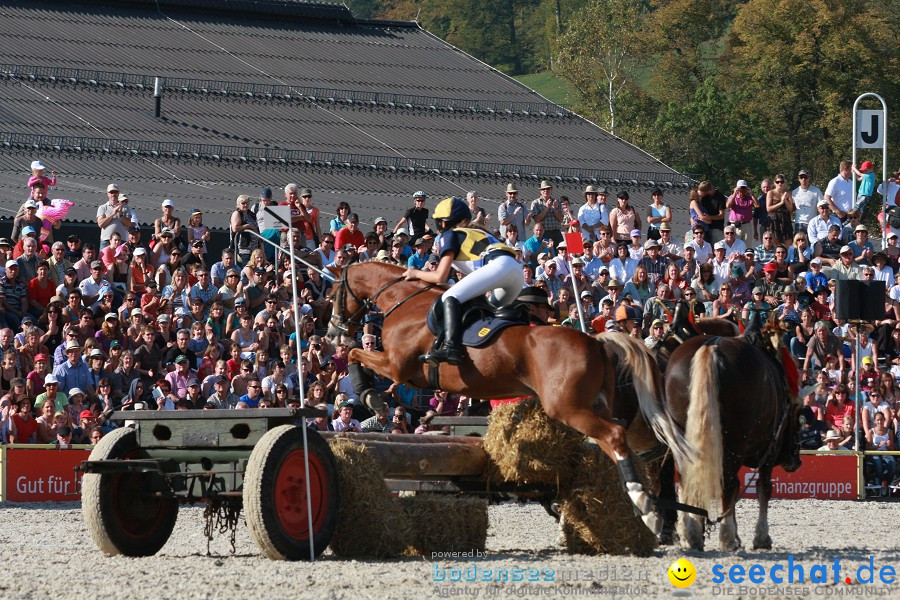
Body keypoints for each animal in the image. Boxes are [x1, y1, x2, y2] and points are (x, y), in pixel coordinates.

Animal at [326, 260, 692, 532]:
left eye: (334, 293)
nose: (332, 330)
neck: (405, 301)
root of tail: (595, 341)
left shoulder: (397, 366)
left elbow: (356, 353)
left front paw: (369, 394)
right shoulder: (405, 375)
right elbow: (358, 353)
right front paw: (380, 396)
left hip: (569, 408)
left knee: (616, 436)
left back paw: (646, 508)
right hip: (591, 406)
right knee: (619, 444)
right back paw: (642, 505)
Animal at [660, 322, 800, 552]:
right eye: (800, 413)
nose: (794, 461)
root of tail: (710, 347)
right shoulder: (769, 451)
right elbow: (763, 488)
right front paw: (760, 537)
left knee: (687, 480)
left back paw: (692, 533)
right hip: (734, 442)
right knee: (728, 484)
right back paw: (726, 536)